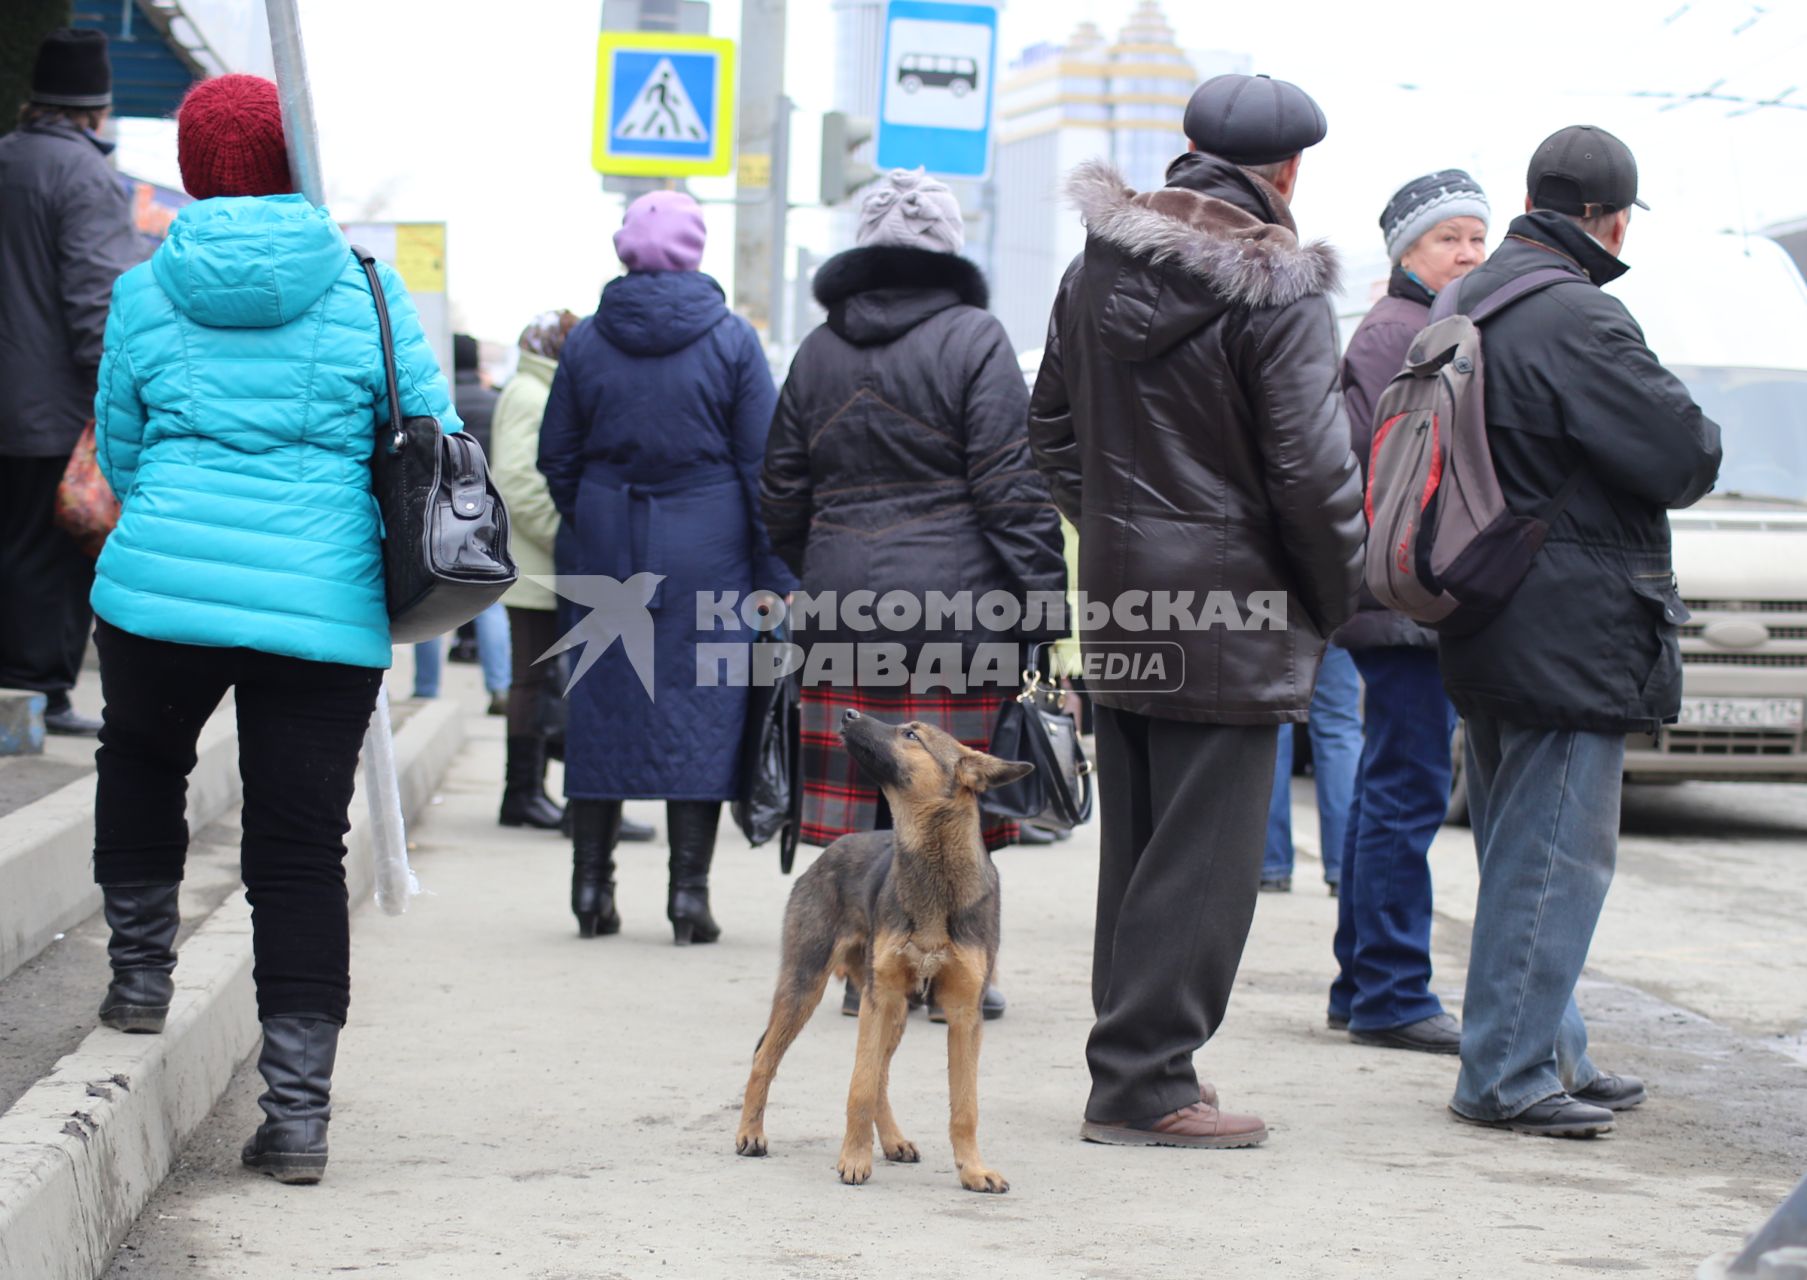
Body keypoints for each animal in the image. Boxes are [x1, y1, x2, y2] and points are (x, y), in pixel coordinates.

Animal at [726, 708, 1026, 1193]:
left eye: (912, 735)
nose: (848, 713)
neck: (933, 872)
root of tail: (831, 850)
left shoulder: (963, 1014)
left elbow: (964, 1105)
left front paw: (973, 1169)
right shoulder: (877, 998)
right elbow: (860, 1086)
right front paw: (854, 1158)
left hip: (896, 1009)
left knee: (881, 1073)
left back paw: (892, 1140)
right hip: (807, 988)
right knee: (765, 1058)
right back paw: (751, 1133)